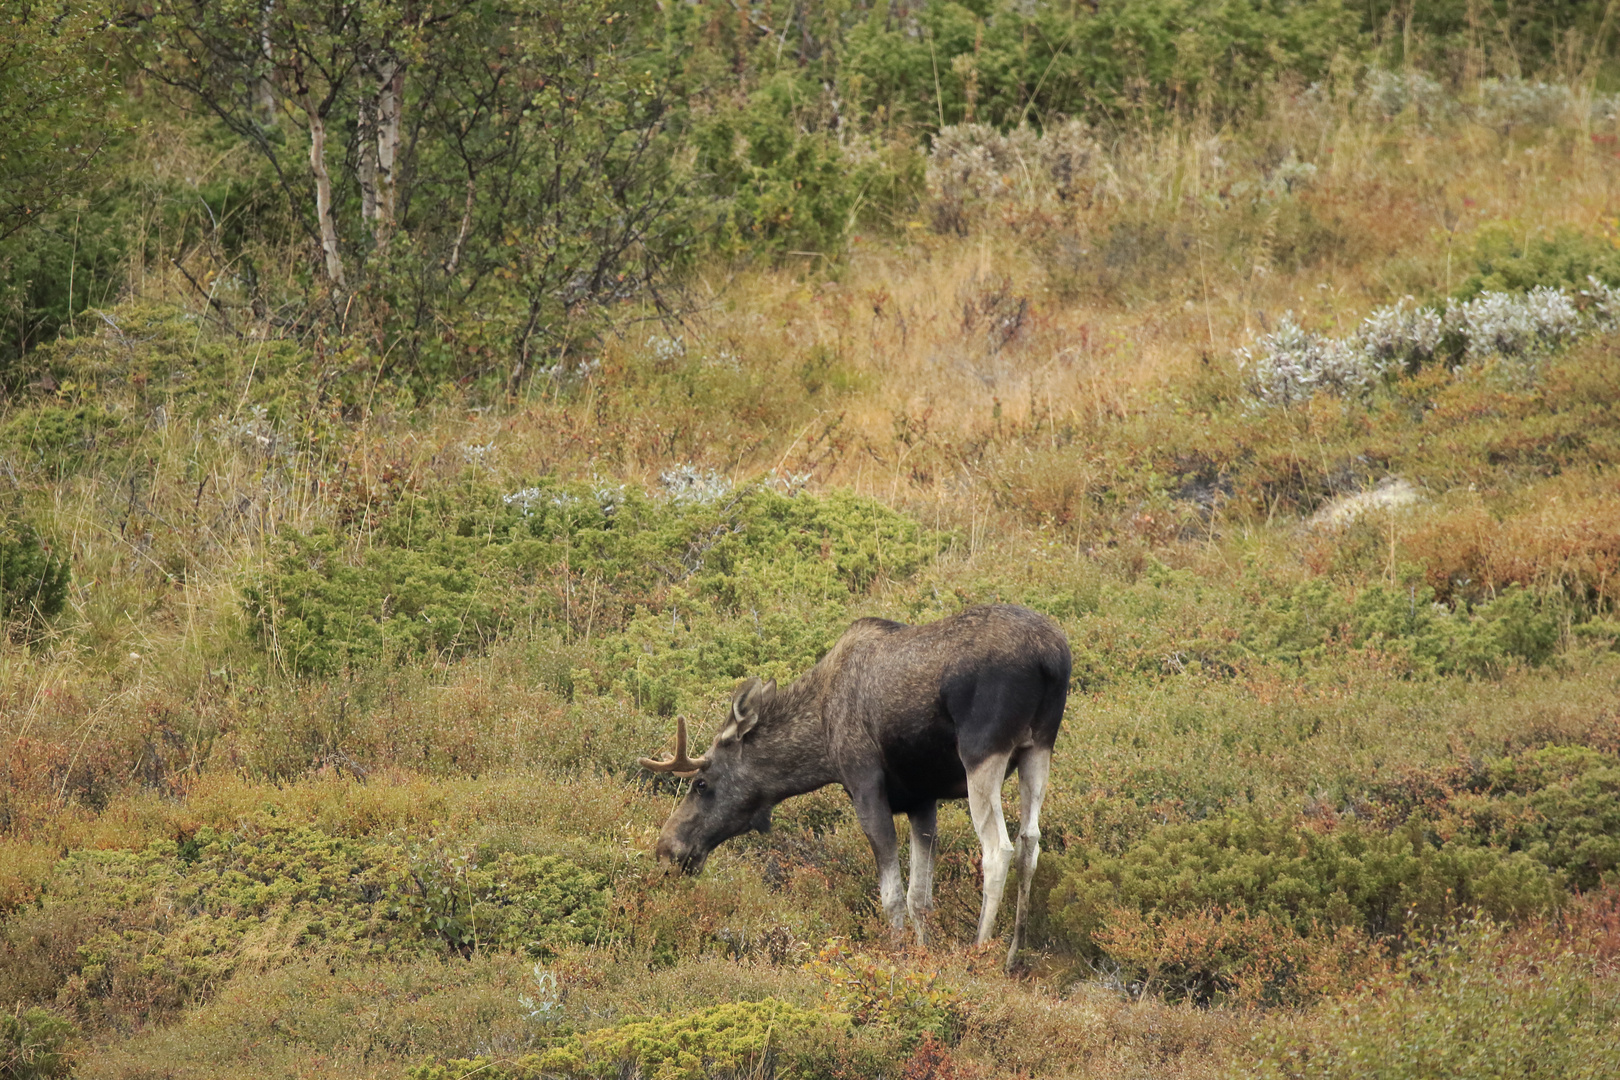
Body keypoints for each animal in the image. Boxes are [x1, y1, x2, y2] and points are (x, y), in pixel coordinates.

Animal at [638, 599, 1069, 971]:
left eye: (701, 783)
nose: (667, 849)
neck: (820, 741)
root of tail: (1052, 658)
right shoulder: (921, 799)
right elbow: (920, 896)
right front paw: (923, 953)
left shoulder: (865, 785)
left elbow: (892, 896)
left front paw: (899, 955)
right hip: (1039, 747)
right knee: (1030, 840)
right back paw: (1015, 953)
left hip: (982, 752)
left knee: (999, 848)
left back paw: (980, 950)